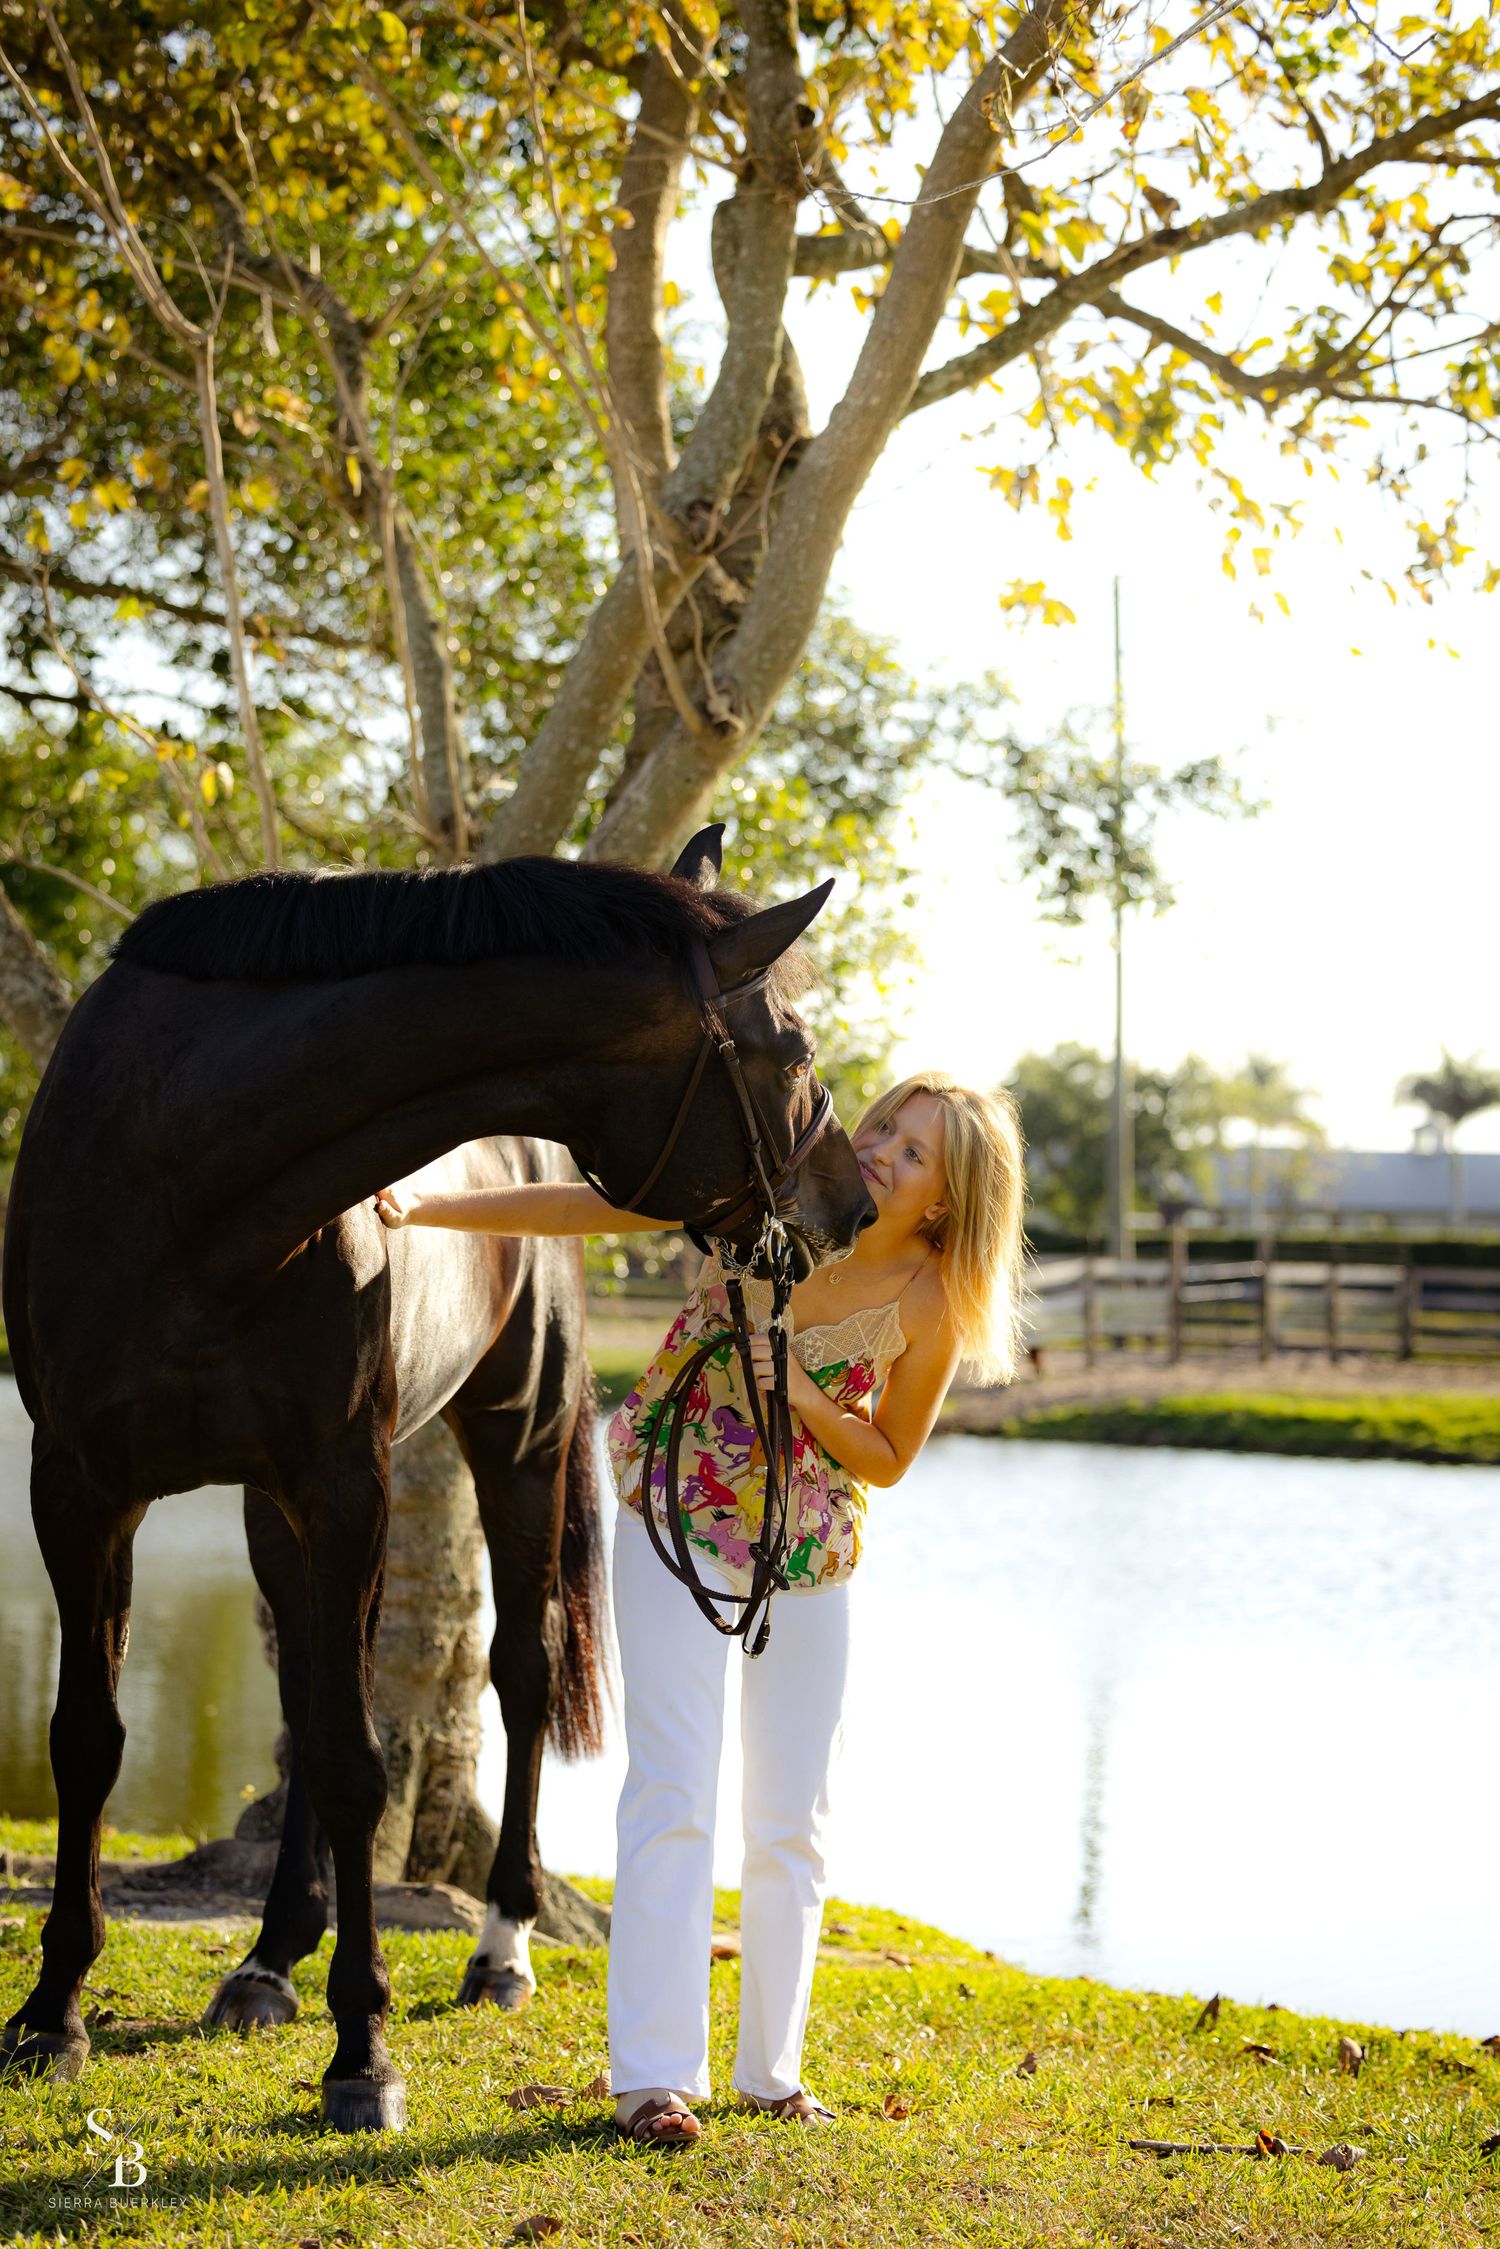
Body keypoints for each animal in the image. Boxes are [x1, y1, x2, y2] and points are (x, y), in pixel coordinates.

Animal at [0, 825, 875, 2131]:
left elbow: (359, 1762)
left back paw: (497, 1948)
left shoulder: (345, 1483)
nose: (856, 1207)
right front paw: (52, 2011)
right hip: (274, 1511)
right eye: (795, 1051)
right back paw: (268, 1958)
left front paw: (362, 2052)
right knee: (308, 1693)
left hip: (513, 1445)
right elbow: (90, 1740)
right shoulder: (80, 1487)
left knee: (519, 1671)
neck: (180, 1173)